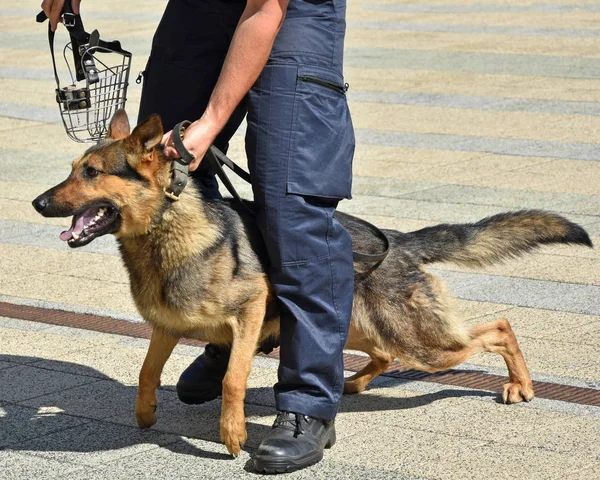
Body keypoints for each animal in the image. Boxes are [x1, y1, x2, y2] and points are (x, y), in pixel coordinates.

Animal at [35, 110, 592, 456]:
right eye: (72, 169)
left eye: (91, 172)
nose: (38, 203)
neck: (163, 230)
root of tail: (399, 241)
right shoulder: (167, 327)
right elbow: (147, 373)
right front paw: (147, 413)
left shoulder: (250, 311)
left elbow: (234, 377)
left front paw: (232, 434)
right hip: (360, 328)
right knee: (381, 353)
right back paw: (353, 383)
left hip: (422, 343)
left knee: (498, 327)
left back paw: (520, 384)